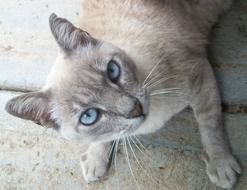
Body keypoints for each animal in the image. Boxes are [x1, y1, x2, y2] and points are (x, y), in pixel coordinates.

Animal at [5, 0, 241, 189]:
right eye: (89, 116)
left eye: (113, 71)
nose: (135, 109)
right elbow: (105, 138)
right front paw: (95, 160)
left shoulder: (200, 76)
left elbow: (210, 125)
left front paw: (220, 164)